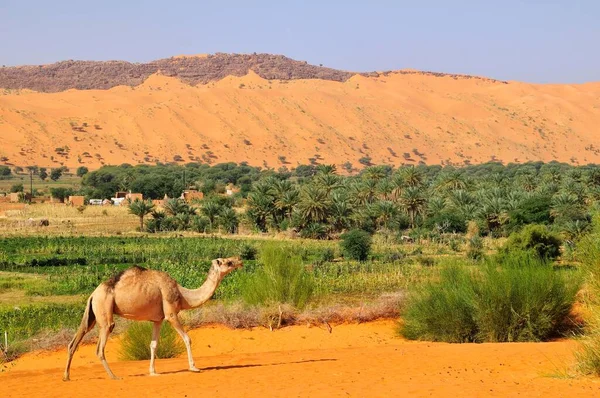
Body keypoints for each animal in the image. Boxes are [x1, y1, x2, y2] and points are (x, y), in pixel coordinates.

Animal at [63, 256, 244, 380]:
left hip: (93, 312)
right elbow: (187, 338)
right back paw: (114, 376)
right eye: (228, 262)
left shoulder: (158, 319)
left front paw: (153, 371)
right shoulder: (171, 313)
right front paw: (194, 367)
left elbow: (153, 344)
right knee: (100, 346)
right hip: (104, 310)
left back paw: (66, 376)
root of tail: (93, 293)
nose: (240, 260)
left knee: (76, 338)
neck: (182, 295)